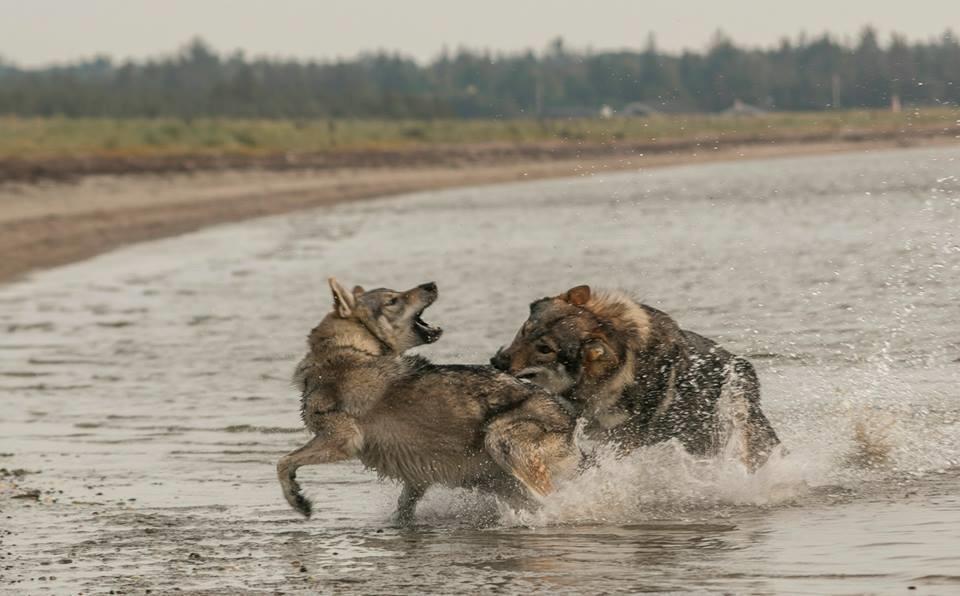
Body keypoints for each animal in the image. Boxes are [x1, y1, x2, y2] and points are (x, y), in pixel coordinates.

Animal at [278, 278, 576, 520]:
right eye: (393, 300)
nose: (431, 284)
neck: (347, 349)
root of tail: (570, 425)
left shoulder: (343, 440)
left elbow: (283, 462)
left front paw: (298, 502)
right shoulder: (416, 477)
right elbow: (403, 510)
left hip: (499, 440)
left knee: (549, 499)